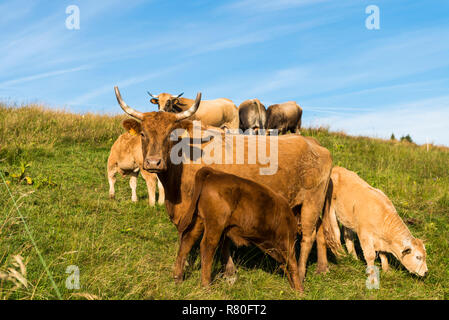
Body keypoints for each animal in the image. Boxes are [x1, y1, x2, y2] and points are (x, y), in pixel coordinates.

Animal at [114, 86, 332, 292]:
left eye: (171, 135)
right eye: (143, 134)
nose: (153, 162)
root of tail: (314, 144)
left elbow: (219, 241)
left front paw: (228, 272)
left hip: (312, 201)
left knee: (308, 235)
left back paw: (301, 275)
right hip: (305, 204)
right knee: (321, 229)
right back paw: (322, 268)